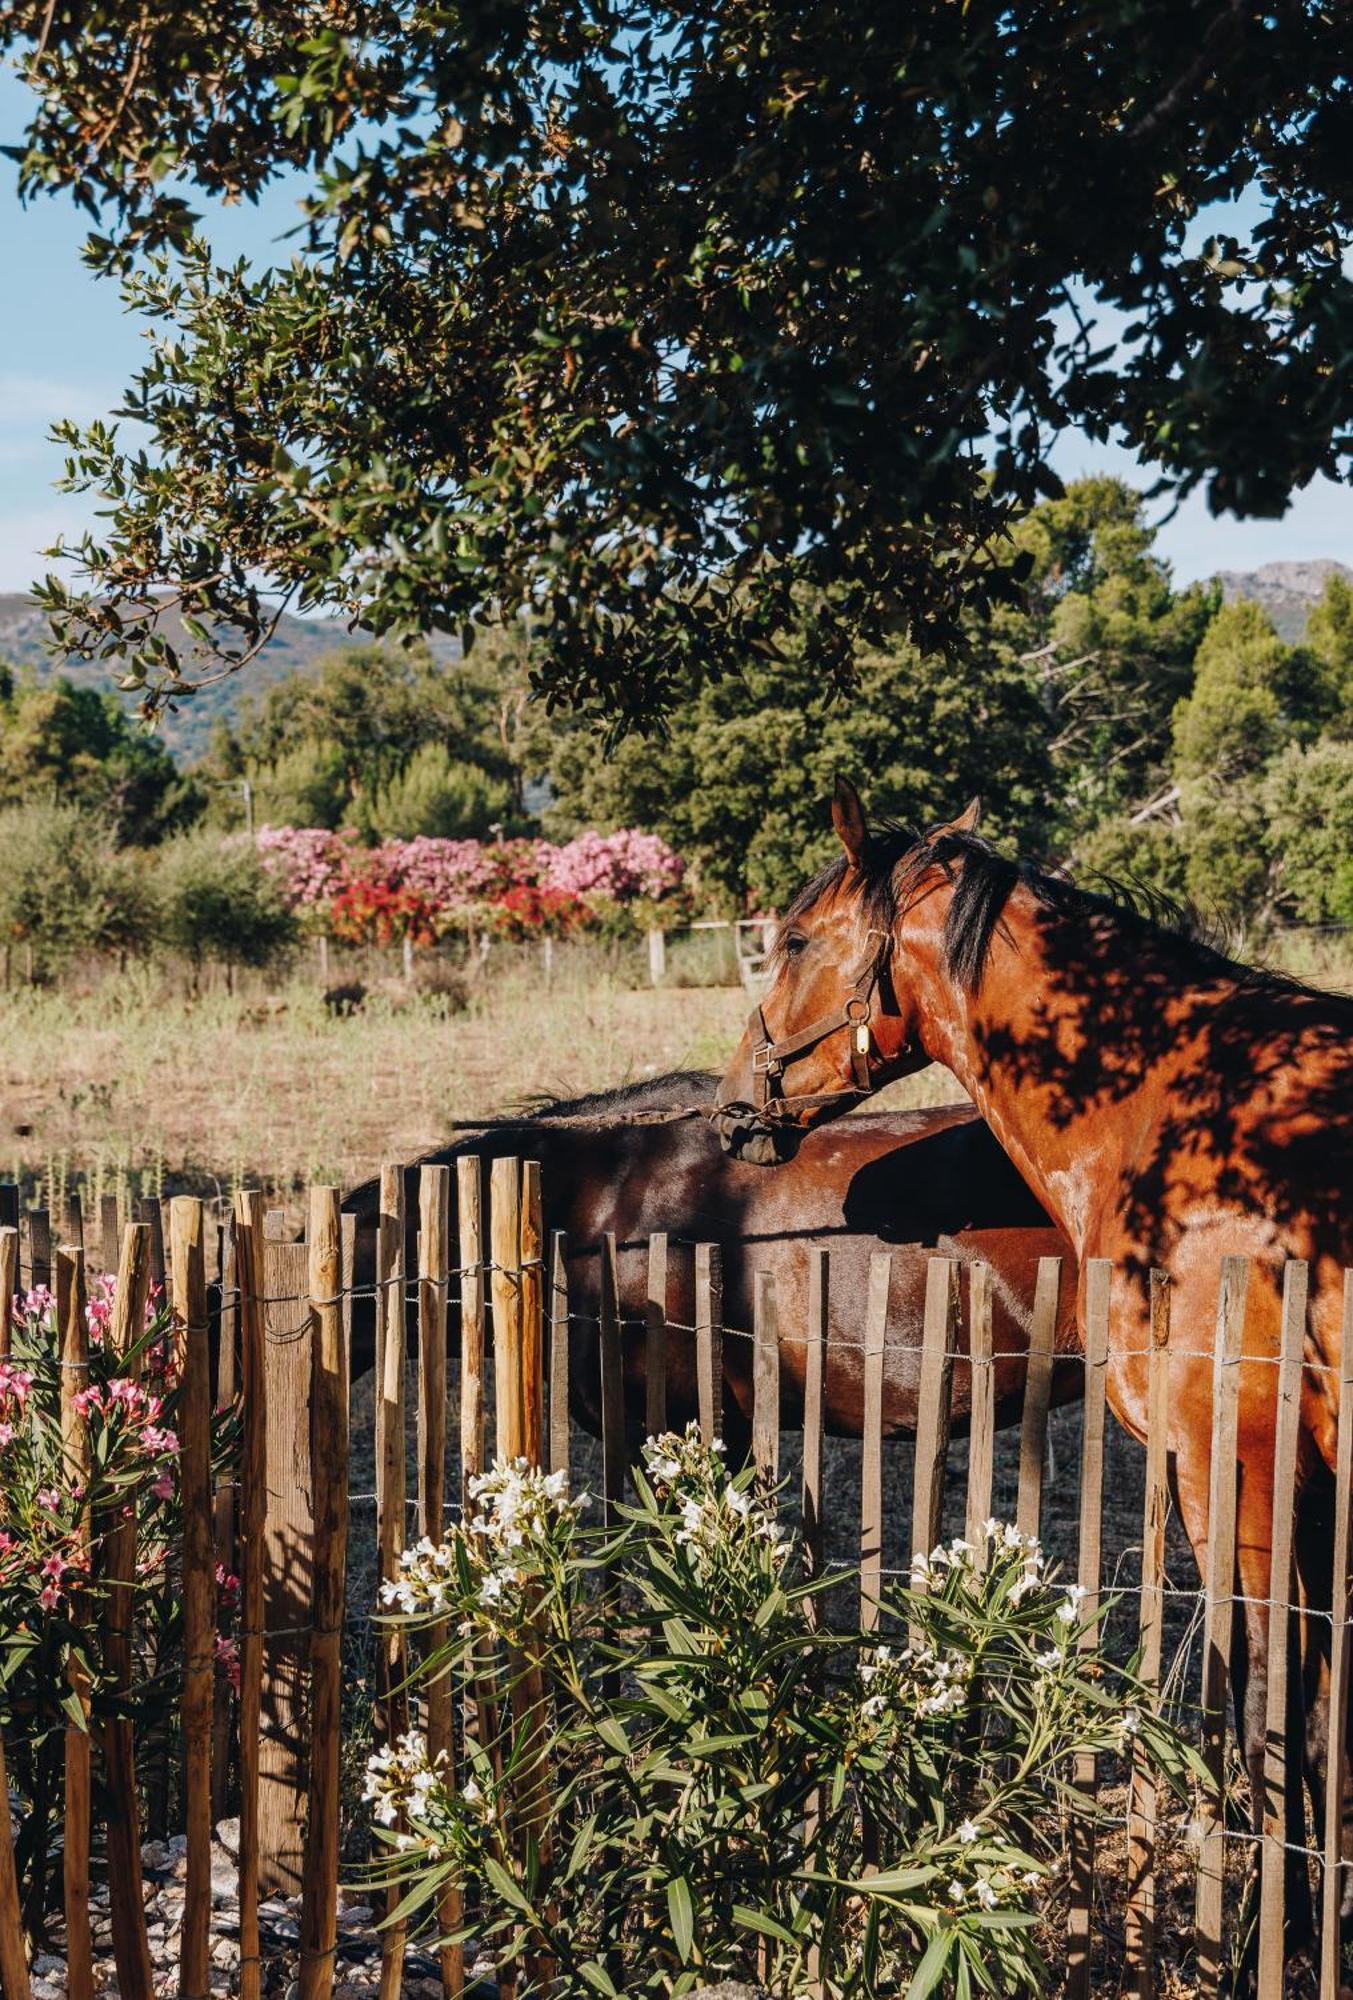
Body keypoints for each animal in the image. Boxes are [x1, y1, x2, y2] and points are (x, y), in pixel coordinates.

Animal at [712, 780, 1344, 1968]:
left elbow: (1270, 1721)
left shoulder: (1237, 1473)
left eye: (797, 940)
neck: (1181, 1108)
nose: (732, 1106)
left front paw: (1268, 1944)